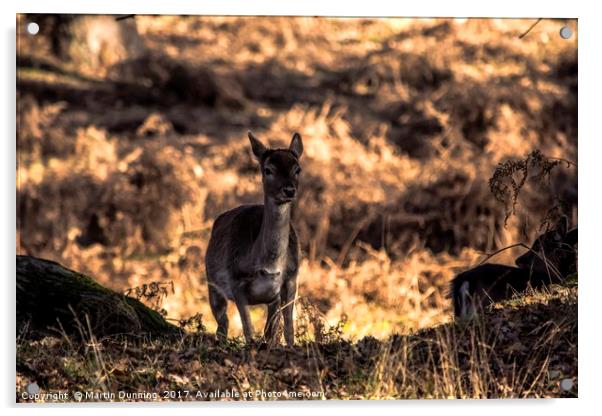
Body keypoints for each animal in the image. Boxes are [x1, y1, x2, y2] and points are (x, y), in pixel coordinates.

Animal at [204, 132, 302, 346]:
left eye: (297, 169)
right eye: (268, 169)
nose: (289, 190)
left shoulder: (291, 278)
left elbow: (287, 330)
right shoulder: (235, 281)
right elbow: (249, 330)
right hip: (211, 284)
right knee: (222, 324)